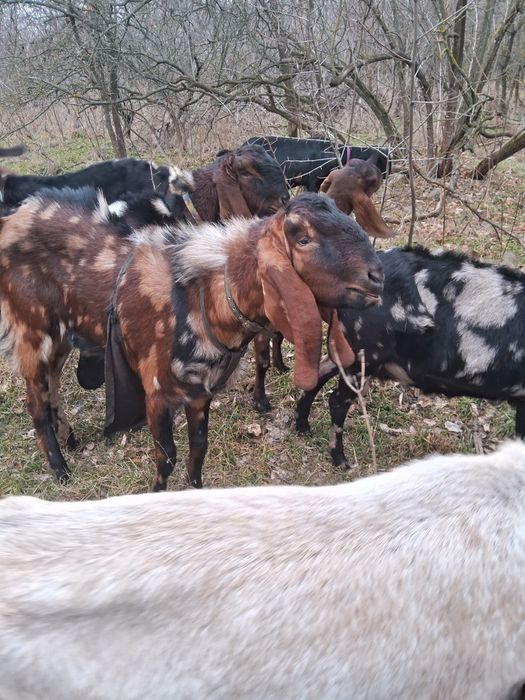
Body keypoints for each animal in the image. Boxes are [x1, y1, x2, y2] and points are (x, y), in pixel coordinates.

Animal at [0, 191, 382, 488]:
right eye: (302, 238)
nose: (377, 276)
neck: (204, 299)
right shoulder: (156, 390)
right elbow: (167, 455)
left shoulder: (200, 392)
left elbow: (199, 447)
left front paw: (195, 490)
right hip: (31, 332)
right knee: (35, 404)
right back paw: (60, 469)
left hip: (61, 337)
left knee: (52, 387)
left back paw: (71, 441)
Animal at [296, 246, 525, 469]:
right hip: (365, 354)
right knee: (336, 401)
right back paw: (342, 463)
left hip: (350, 349)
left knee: (320, 372)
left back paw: (303, 428)